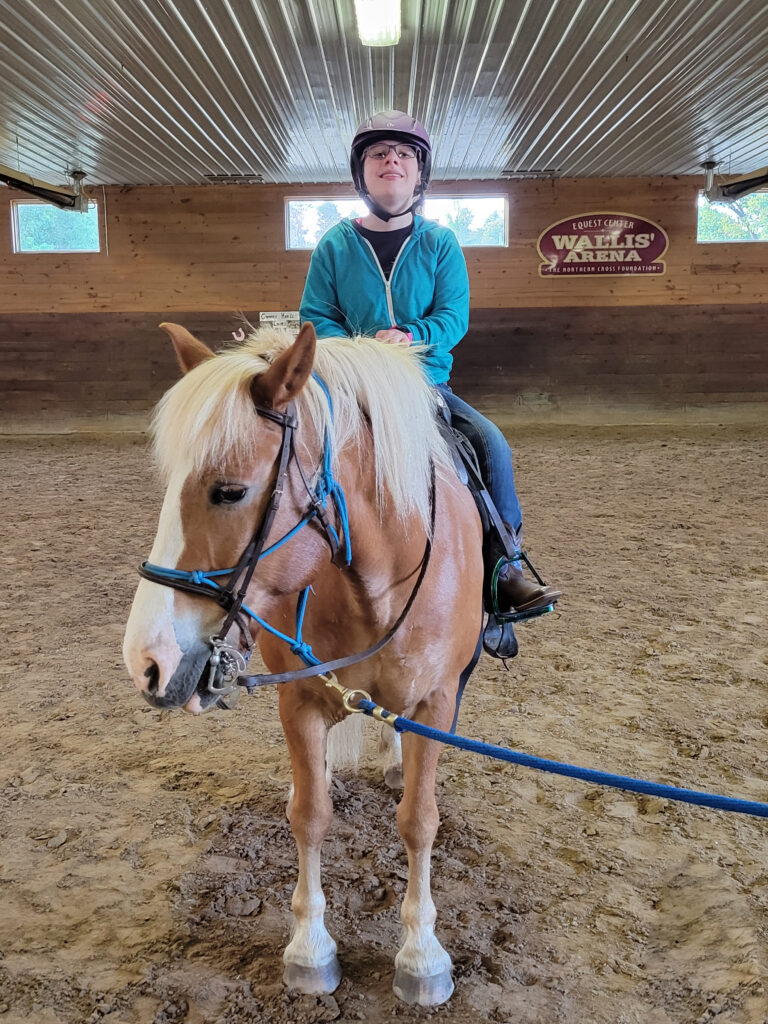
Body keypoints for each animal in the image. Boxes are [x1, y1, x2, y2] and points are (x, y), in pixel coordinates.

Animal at [123, 321, 483, 1007]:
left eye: (230, 491)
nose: (146, 661)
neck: (372, 581)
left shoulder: (435, 702)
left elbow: (419, 821)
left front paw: (422, 955)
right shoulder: (301, 700)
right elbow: (310, 816)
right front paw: (310, 948)